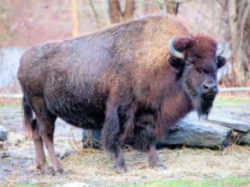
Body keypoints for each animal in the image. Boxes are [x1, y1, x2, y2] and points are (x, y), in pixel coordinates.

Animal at [16, 15, 226, 174]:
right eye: (190, 61)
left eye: (215, 62)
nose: (210, 87)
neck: (161, 62)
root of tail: (23, 59)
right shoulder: (121, 109)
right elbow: (117, 136)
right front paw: (121, 167)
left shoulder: (149, 111)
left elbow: (150, 137)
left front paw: (157, 164)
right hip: (43, 109)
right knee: (46, 134)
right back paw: (58, 169)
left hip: (43, 111)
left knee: (36, 130)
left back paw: (43, 168)